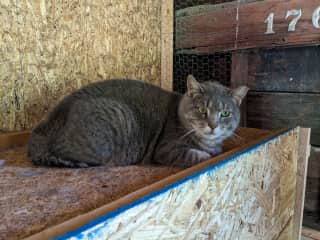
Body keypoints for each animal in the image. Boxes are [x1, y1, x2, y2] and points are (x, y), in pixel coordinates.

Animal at [28, 74, 248, 167]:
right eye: (202, 109)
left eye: (225, 113)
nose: (212, 125)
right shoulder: (167, 149)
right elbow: (197, 155)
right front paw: (207, 153)